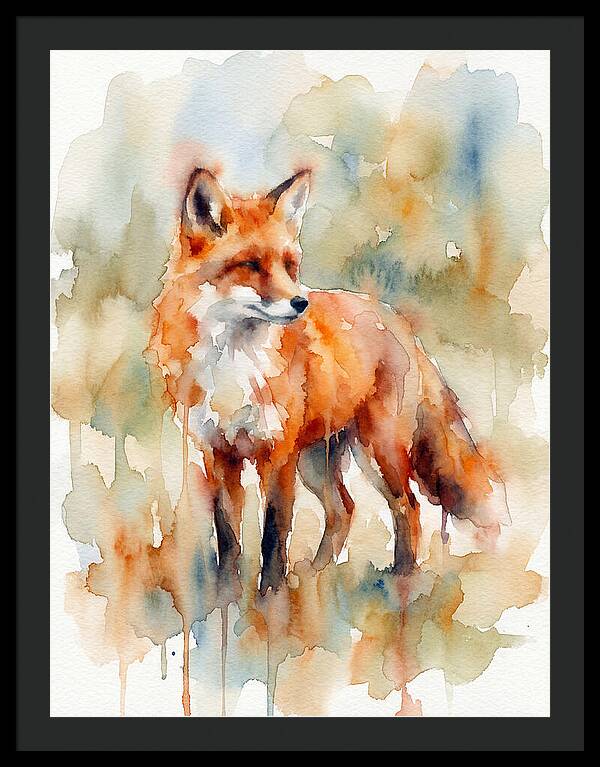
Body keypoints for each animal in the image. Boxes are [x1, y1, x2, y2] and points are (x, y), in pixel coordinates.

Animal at [147, 167, 509, 596]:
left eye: (290, 266)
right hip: (318, 461)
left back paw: (401, 580)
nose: (300, 303)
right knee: (344, 509)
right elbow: (228, 538)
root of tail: (396, 320)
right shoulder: (219, 453)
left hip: (378, 450)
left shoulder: (278, 454)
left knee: (408, 505)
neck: (234, 364)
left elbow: (273, 534)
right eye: (250, 264)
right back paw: (315, 574)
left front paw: (270, 600)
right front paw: (226, 599)